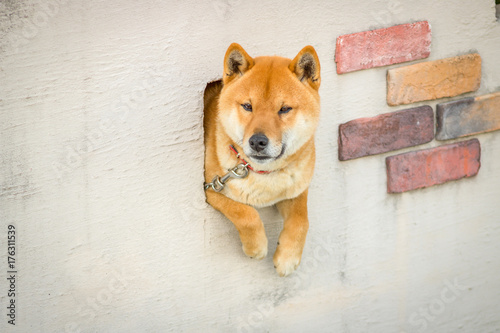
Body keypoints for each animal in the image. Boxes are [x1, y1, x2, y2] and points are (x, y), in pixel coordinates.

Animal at [203, 42, 320, 274]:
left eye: (284, 109)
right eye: (248, 106)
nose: (257, 141)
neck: (262, 173)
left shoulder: (297, 188)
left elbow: (301, 221)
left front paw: (287, 257)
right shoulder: (211, 190)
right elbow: (246, 214)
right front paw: (256, 247)